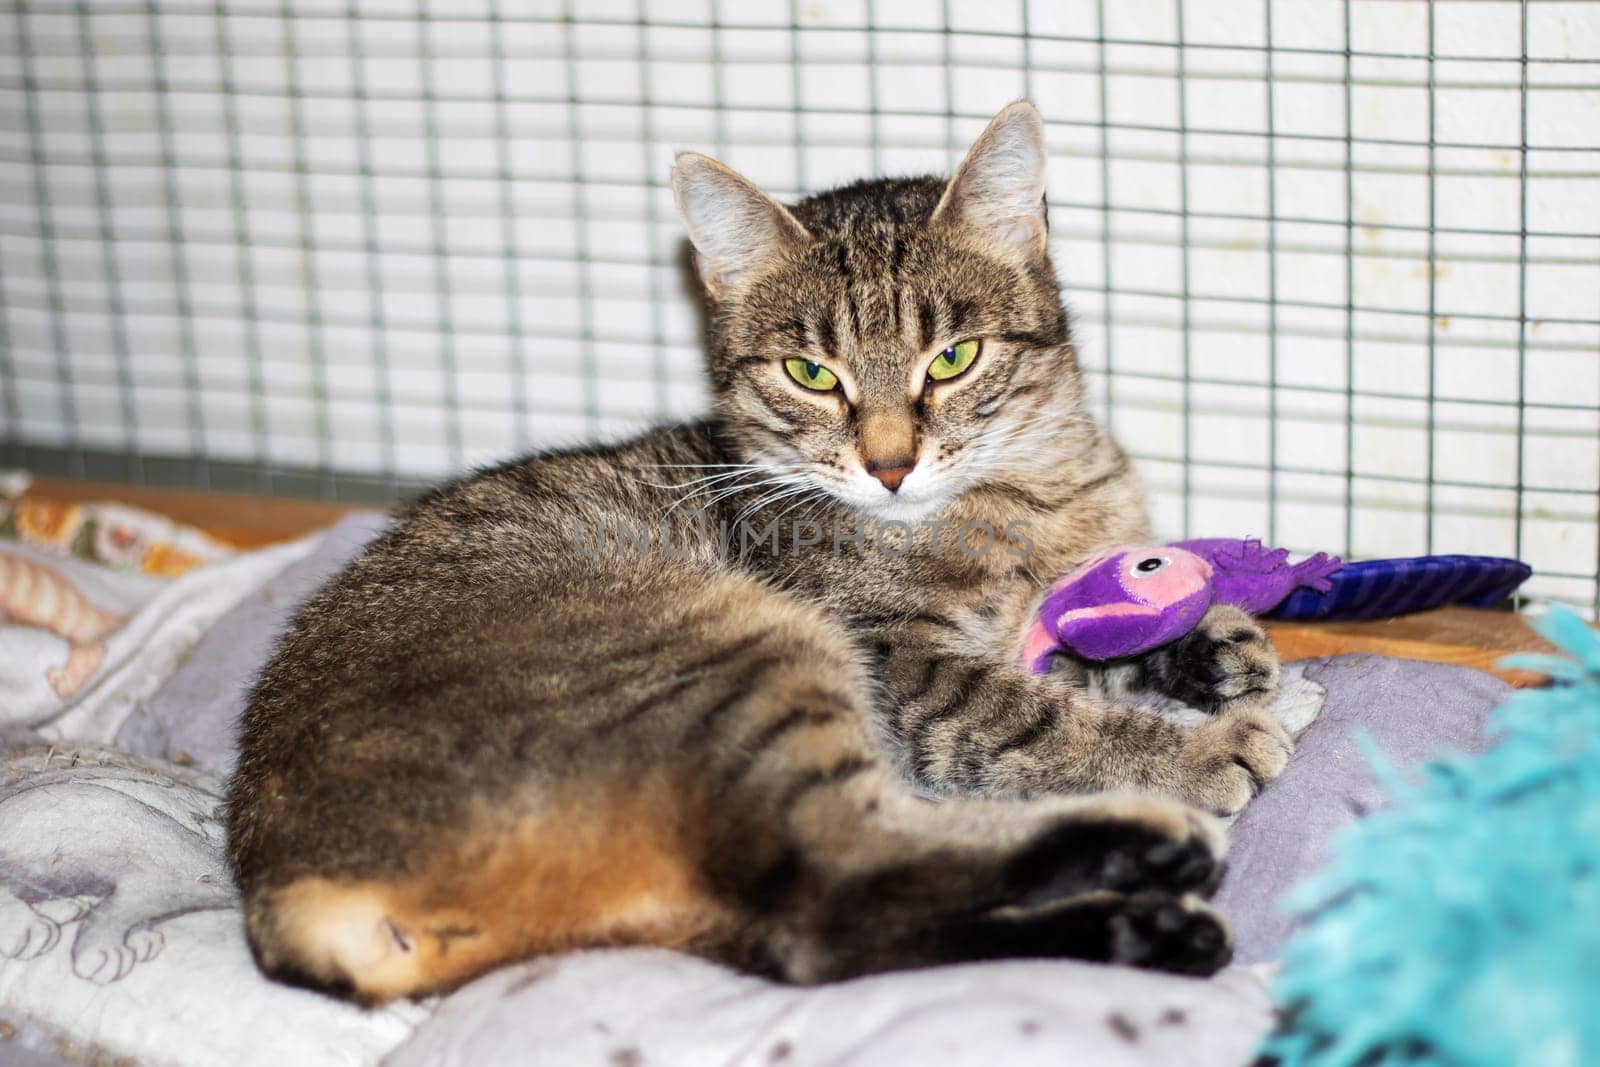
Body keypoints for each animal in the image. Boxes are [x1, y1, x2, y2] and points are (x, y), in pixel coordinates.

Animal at [225, 97, 1292, 1004]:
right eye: (810, 374)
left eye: (951, 359)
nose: (891, 464)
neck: (1025, 493)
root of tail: (283, 885)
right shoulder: (905, 664)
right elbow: (1032, 719)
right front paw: (1198, 745)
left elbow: (1089, 634)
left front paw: (1213, 640)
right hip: (741, 653)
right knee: (837, 886)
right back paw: (1148, 854)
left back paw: (1144, 925)